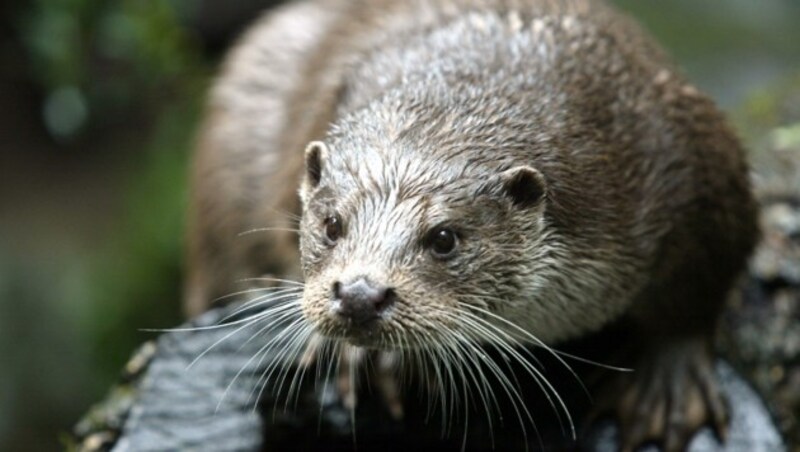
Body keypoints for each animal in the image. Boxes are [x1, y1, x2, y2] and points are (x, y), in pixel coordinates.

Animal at [184, 1, 760, 450]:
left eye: (444, 238)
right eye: (331, 224)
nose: (360, 295)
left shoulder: (681, 146)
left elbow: (708, 269)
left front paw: (668, 382)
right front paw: (356, 357)